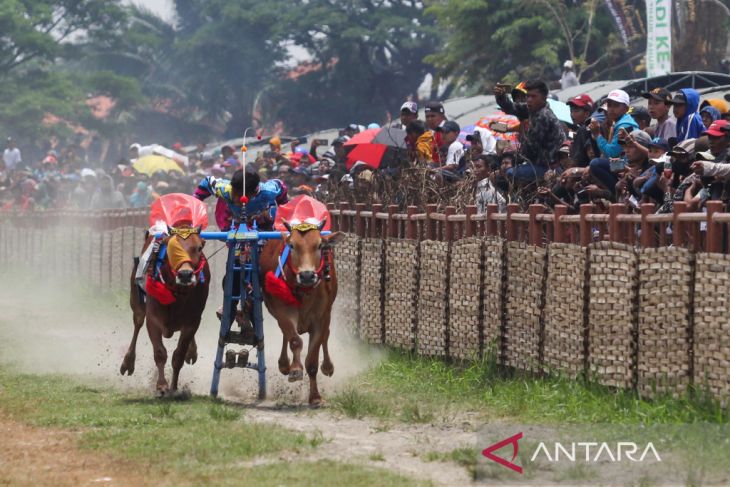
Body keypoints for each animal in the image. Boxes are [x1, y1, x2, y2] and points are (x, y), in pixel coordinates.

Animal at [120, 226, 209, 396]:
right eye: (170, 248)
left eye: (199, 248)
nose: (185, 275)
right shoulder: (153, 319)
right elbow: (160, 352)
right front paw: (161, 385)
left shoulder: (193, 321)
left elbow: (179, 355)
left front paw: (174, 387)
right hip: (136, 303)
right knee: (137, 324)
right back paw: (127, 363)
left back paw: (192, 352)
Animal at [258, 222, 344, 408]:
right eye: (292, 245)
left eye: (319, 245)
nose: (307, 275)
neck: (305, 292)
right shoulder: (282, 312)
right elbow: (294, 340)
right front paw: (295, 369)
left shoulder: (321, 318)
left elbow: (312, 359)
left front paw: (316, 398)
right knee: (287, 336)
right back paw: (284, 364)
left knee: (326, 336)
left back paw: (328, 366)